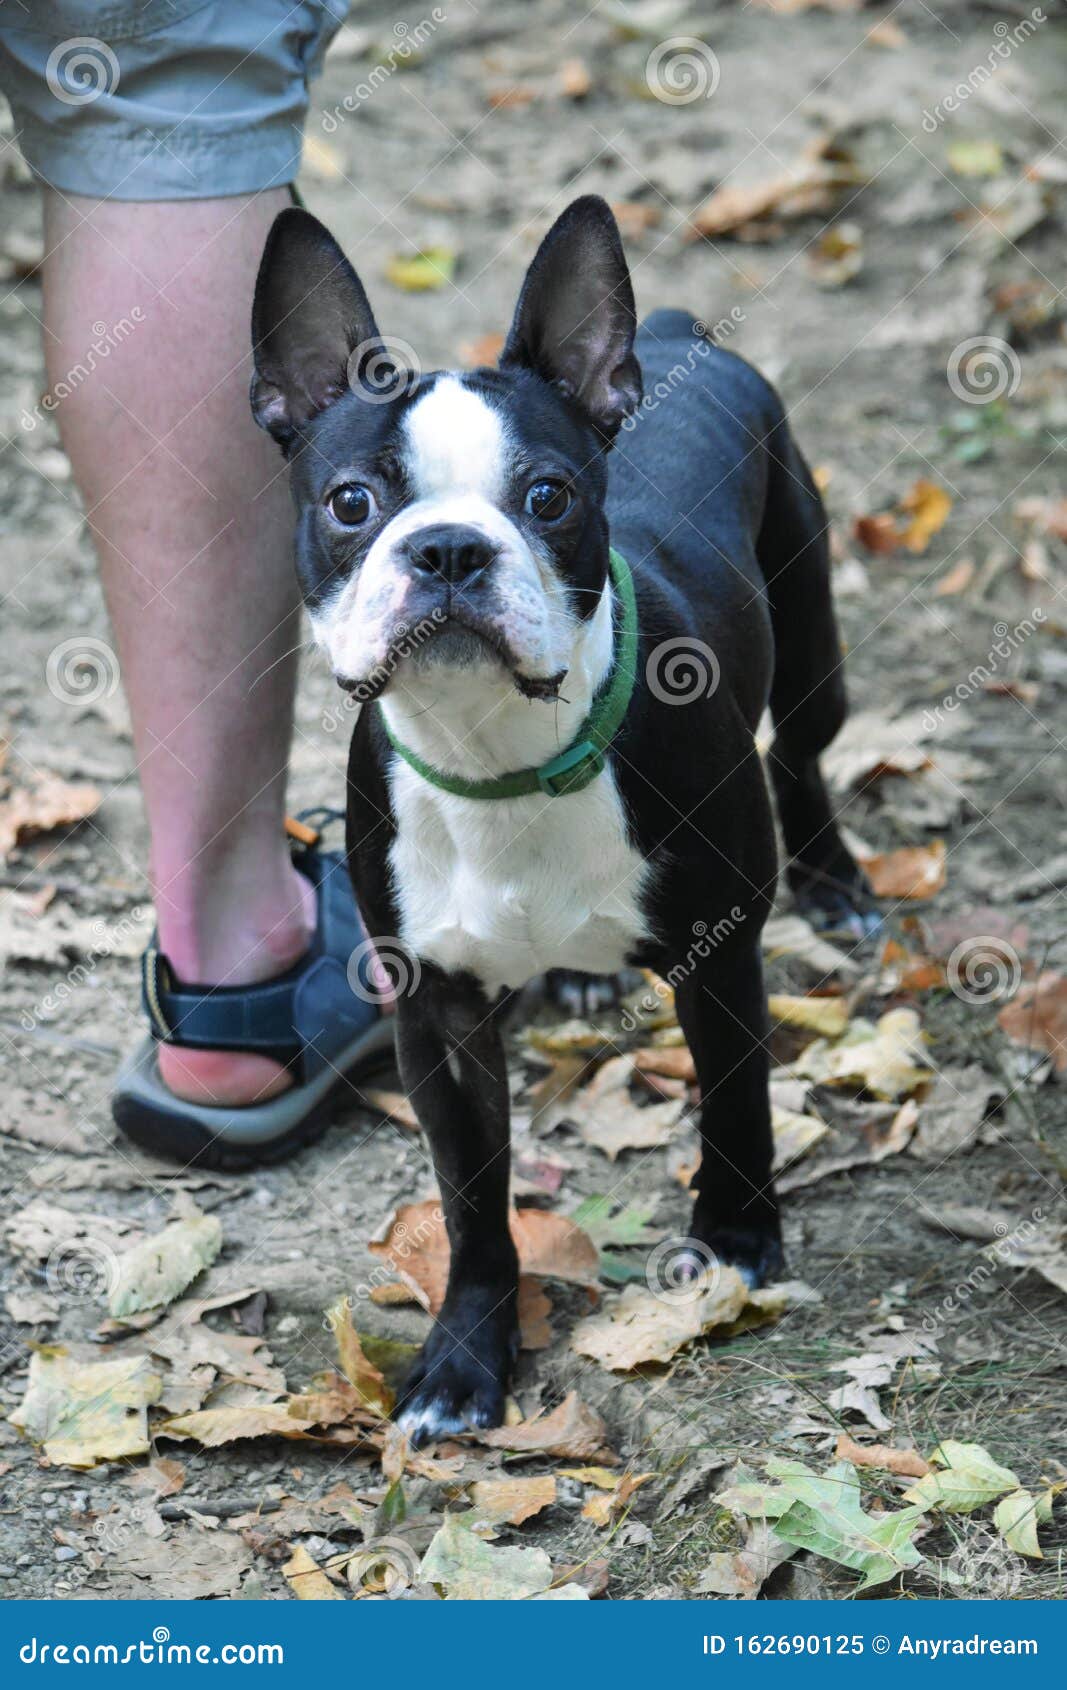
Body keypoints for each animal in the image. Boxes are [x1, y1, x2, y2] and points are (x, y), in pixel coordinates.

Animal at [251, 194, 879, 1439]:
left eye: (547, 496)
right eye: (351, 503)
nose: (447, 547)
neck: (499, 755)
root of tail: (678, 326)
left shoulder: (716, 953)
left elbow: (734, 1103)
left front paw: (736, 1242)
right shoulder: (434, 1011)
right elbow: (470, 1200)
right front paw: (461, 1360)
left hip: (807, 620)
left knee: (804, 751)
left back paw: (835, 883)